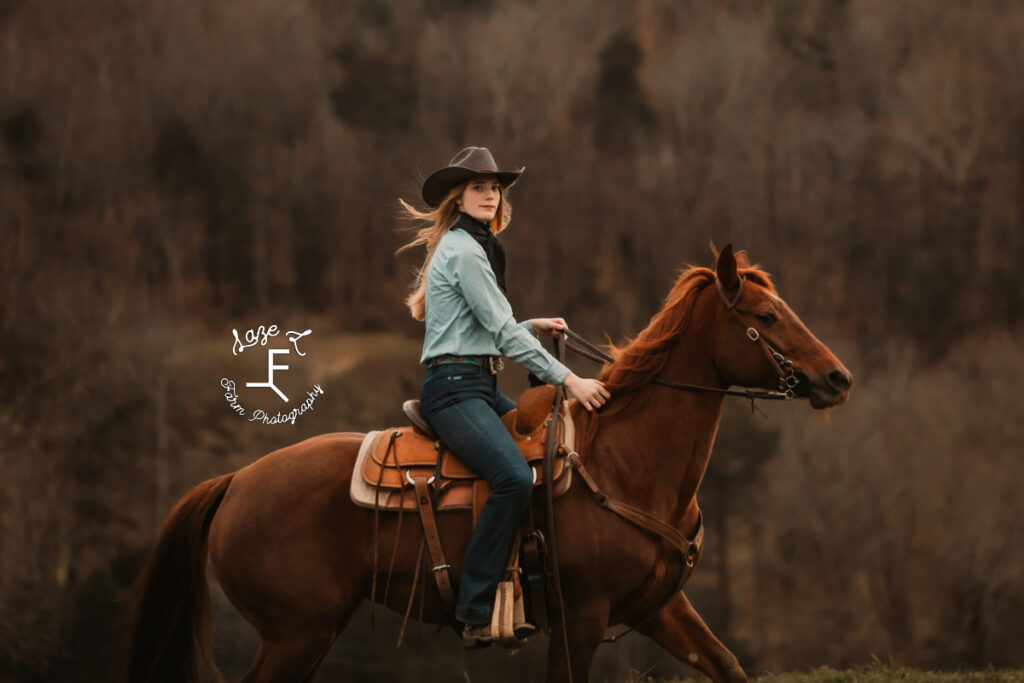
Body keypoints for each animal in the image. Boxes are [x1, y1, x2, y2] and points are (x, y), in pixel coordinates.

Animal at [123, 245, 851, 683]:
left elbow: (728, 665)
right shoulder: (581, 616)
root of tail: (234, 482)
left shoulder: (659, 606)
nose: (837, 377)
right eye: (766, 316)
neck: (626, 465)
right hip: (296, 632)